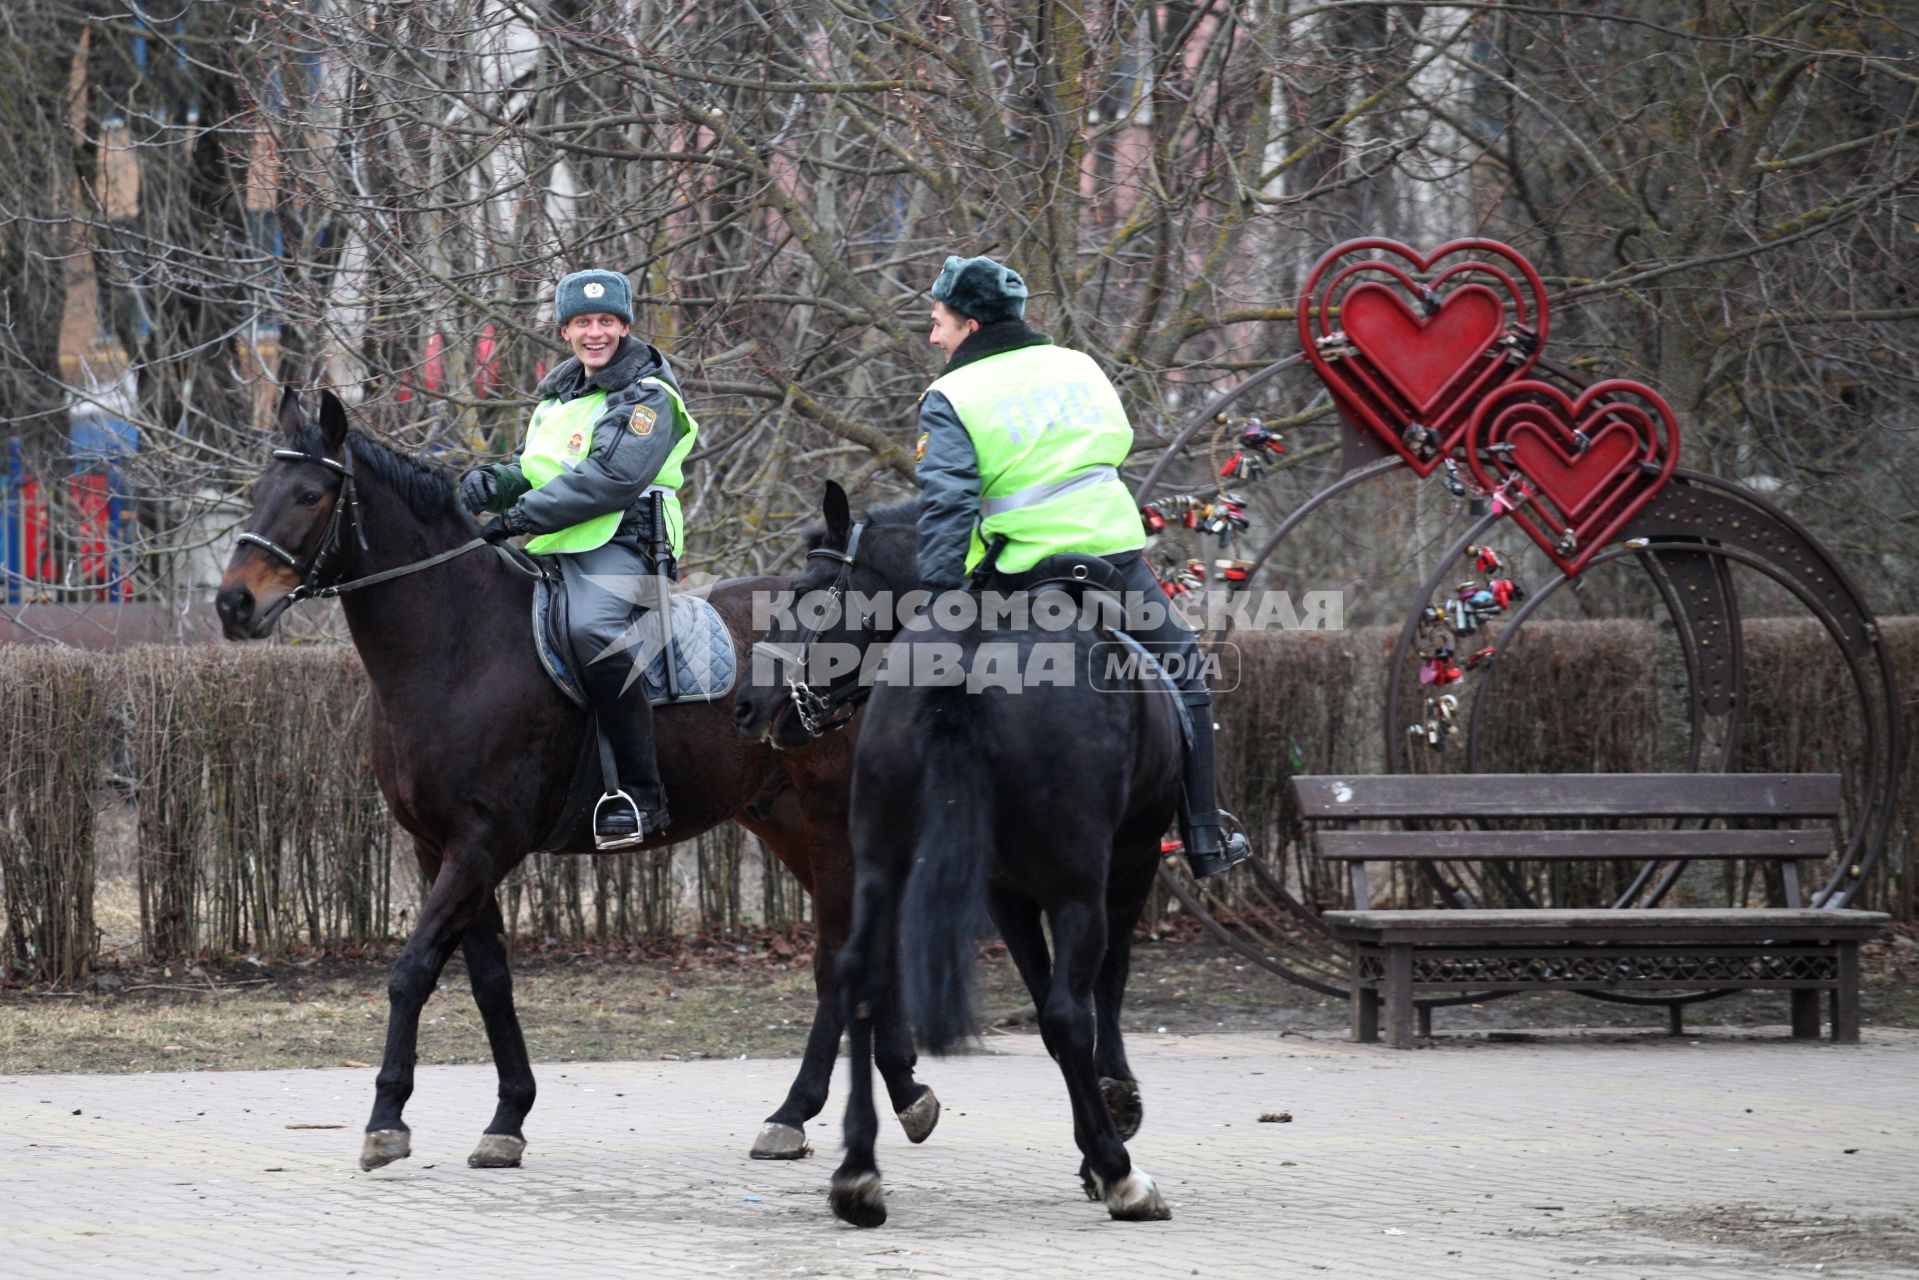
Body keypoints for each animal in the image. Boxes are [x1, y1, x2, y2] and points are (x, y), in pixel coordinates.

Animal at [217, 391, 936, 1174]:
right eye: (257, 490)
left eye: (309, 495)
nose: (233, 605)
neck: (459, 648)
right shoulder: (440, 849)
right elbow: (489, 980)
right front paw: (508, 1116)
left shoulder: (482, 844)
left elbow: (413, 970)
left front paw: (386, 1118)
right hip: (783, 820)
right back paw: (876, 1095)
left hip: (830, 821)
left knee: (841, 955)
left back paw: (815, 1106)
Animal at [733, 485, 1174, 1228]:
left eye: (808, 594)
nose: (747, 703)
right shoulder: (1122, 865)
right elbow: (1093, 999)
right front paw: (1110, 1125)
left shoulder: (1000, 890)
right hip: (1080, 883)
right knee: (1070, 1009)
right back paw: (1121, 1173)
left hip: (876, 859)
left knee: (856, 975)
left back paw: (856, 1171)